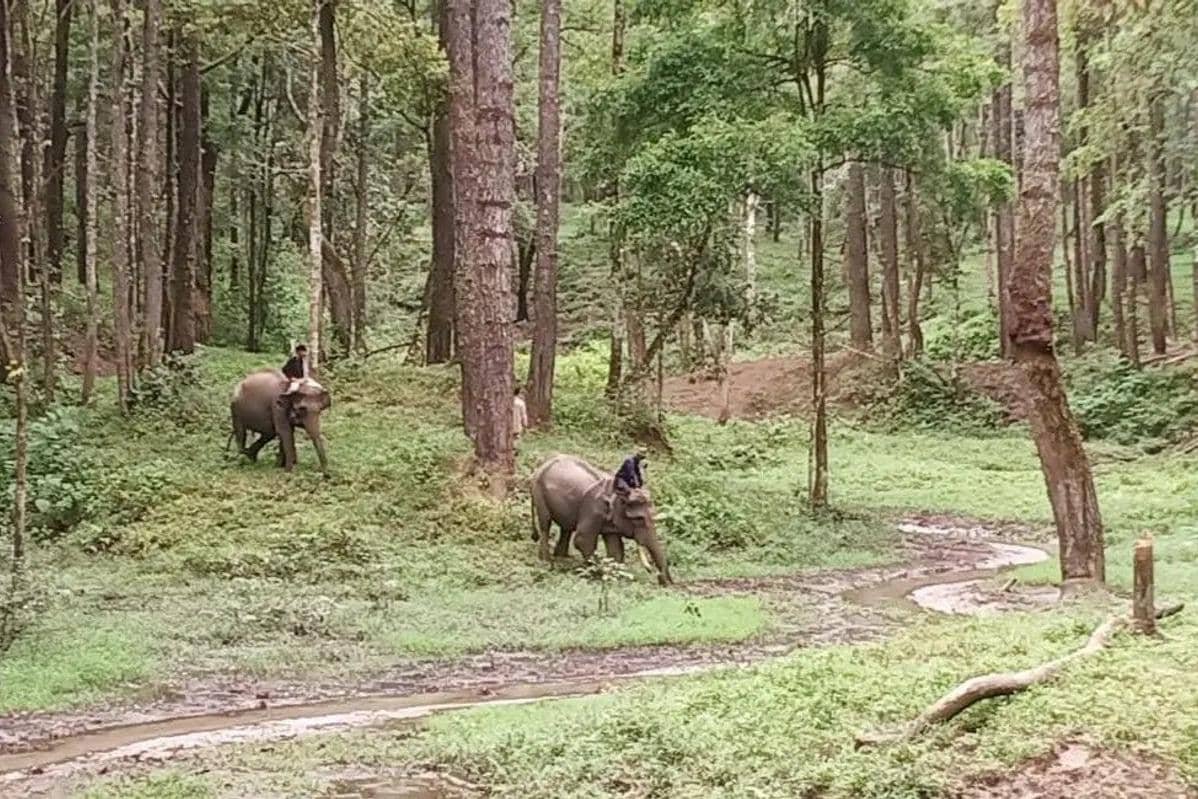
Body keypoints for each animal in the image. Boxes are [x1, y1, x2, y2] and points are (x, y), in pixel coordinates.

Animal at [530, 454, 672, 586]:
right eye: (639, 519)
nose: (662, 579)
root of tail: (541, 466)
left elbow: (615, 548)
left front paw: (615, 577)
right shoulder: (593, 511)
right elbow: (582, 540)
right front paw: (598, 574)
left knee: (566, 528)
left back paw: (562, 557)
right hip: (539, 493)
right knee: (545, 524)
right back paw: (547, 561)